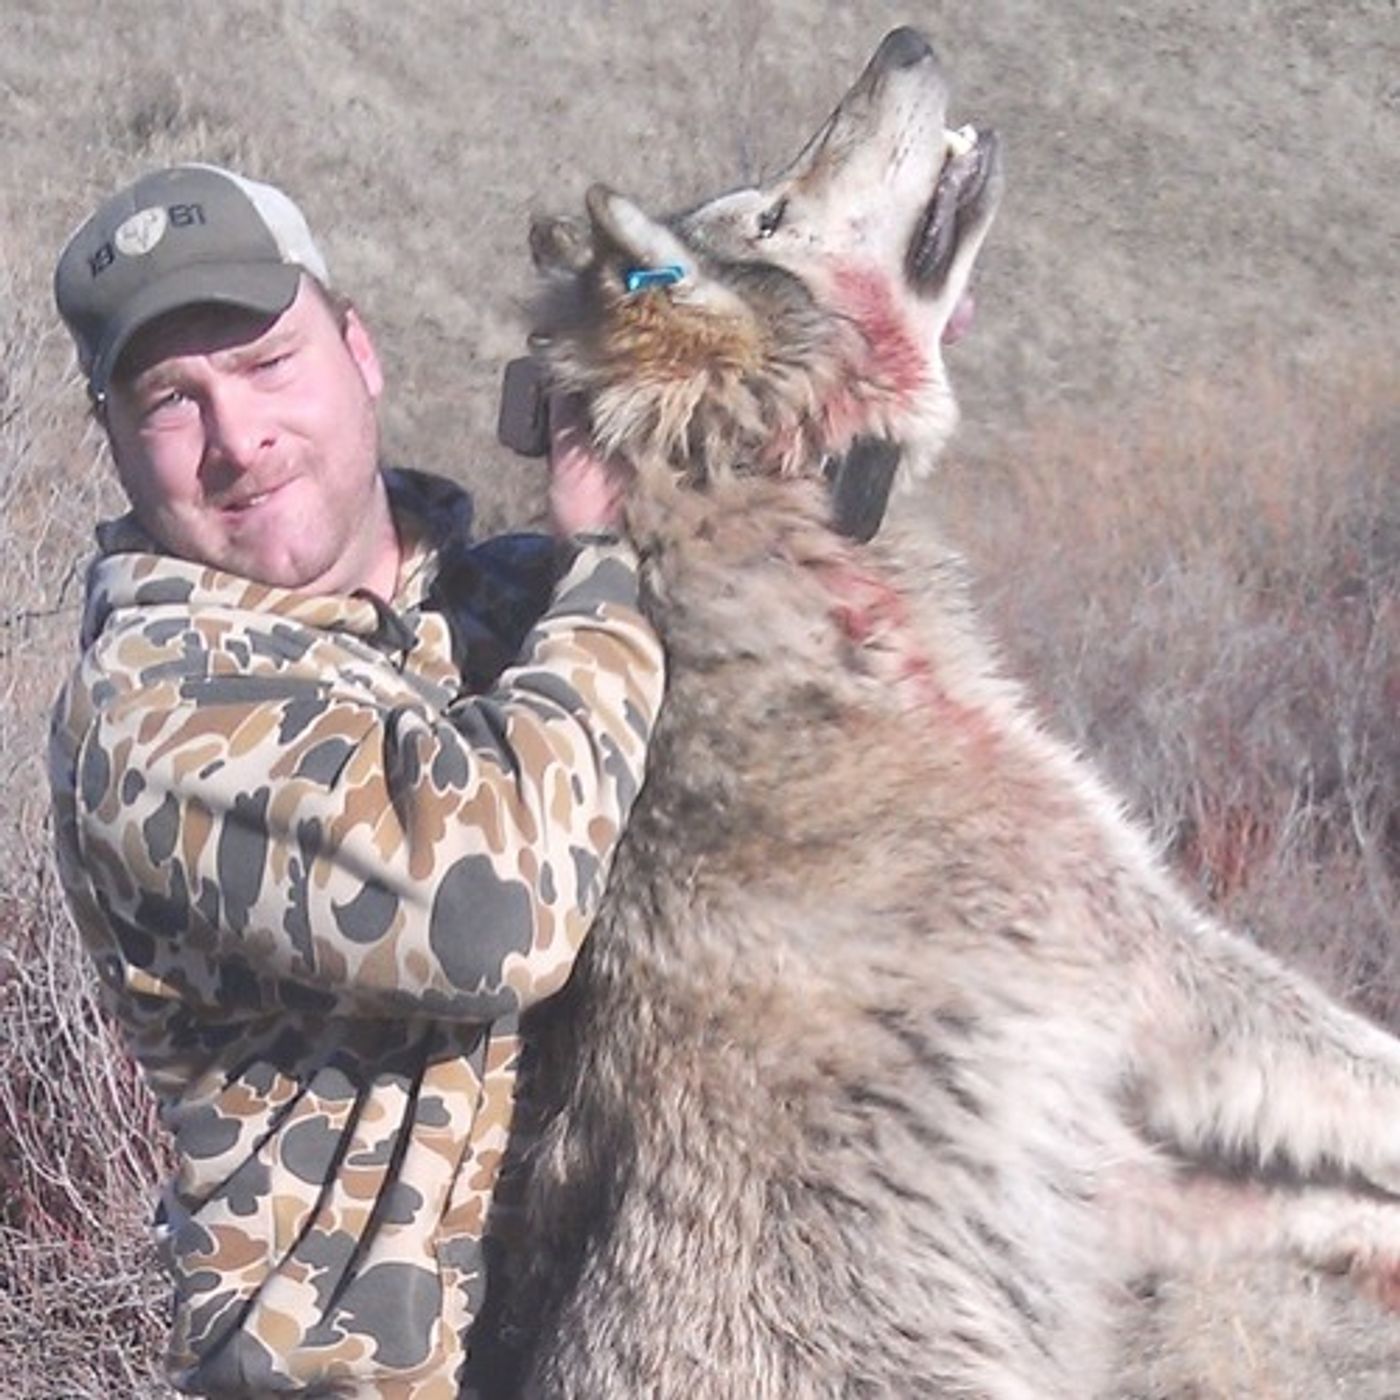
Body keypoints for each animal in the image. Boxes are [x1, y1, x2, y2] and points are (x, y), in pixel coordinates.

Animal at [497, 27, 1400, 1398]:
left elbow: (1307, 1194)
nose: (904, 38)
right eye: (773, 210)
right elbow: (1361, 1067)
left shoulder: (1105, 1176)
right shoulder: (1147, 961)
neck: (784, 534)